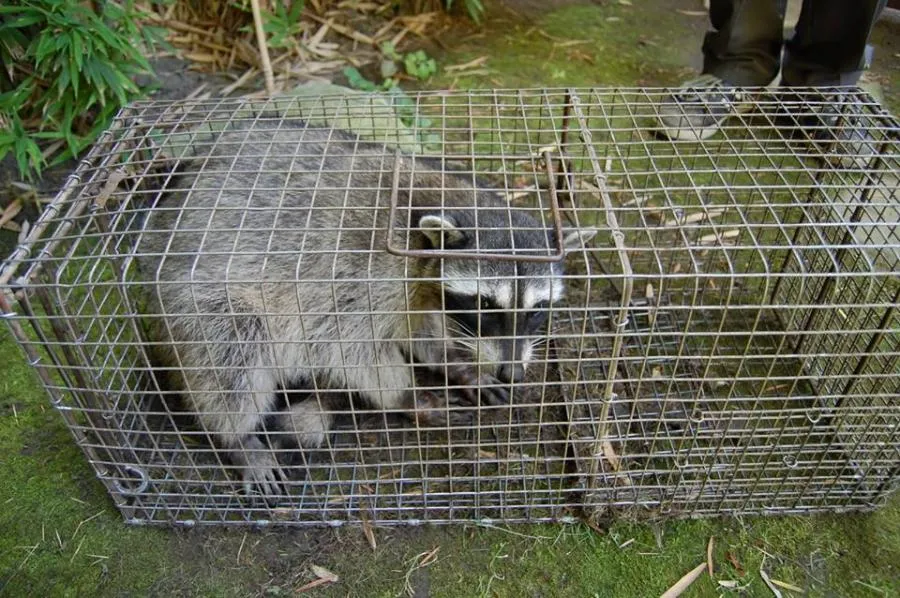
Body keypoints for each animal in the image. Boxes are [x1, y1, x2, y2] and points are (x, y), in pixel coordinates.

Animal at [137, 119, 596, 496]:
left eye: (537, 308)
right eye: (485, 304)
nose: (511, 371)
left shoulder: (419, 294)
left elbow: (419, 329)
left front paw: (458, 364)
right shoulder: (354, 277)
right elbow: (349, 349)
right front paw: (409, 395)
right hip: (196, 301)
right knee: (230, 357)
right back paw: (238, 437)